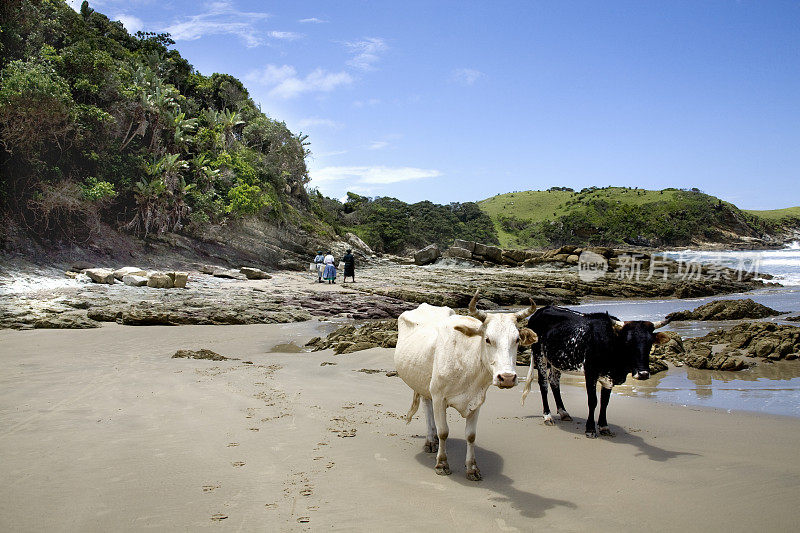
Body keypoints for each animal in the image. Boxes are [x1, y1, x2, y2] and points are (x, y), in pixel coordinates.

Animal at [394, 288, 536, 480]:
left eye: (517, 340)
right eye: (487, 339)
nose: (506, 378)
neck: (467, 362)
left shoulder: (477, 400)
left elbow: (471, 436)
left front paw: (472, 468)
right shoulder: (439, 397)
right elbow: (443, 431)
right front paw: (442, 464)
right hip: (424, 385)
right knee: (427, 407)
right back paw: (431, 440)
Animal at [520, 308, 672, 436]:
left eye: (650, 343)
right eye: (628, 342)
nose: (643, 374)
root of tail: (540, 311)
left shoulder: (608, 378)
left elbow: (605, 402)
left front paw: (604, 426)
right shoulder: (590, 373)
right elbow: (592, 401)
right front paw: (590, 428)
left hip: (557, 360)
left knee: (554, 381)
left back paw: (564, 413)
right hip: (540, 355)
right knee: (543, 383)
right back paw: (547, 416)